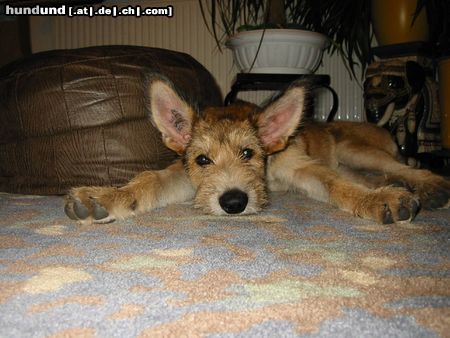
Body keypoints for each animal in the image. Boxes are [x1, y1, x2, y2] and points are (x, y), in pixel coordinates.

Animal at [64, 78, 450, 223]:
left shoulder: (300, 166)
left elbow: (335, 183)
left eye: (249, 153)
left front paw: (376, 202)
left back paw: (428, 186)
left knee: (402, 167)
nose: (234, 202)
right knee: (377, 174)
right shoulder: (187, 177)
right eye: (202, 160)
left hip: (357, 149)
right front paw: (104, 197)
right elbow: (149, 181)